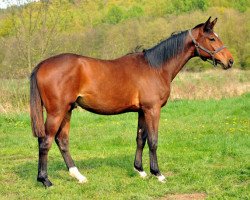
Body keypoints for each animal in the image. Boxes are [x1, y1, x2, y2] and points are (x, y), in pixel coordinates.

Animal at [30, 17, 233, 188]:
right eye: (212, 38)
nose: (230, 61)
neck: (155, 68)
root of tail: (42, 65)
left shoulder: (142, 111)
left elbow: (140, 139)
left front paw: (140, 171)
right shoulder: (153, 109)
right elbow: (153, 141)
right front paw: (158, 174)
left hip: (68, 110)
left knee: (62, 140)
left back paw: (78, 176)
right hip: (57, 112)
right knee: (46, 142)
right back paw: (46, 180)